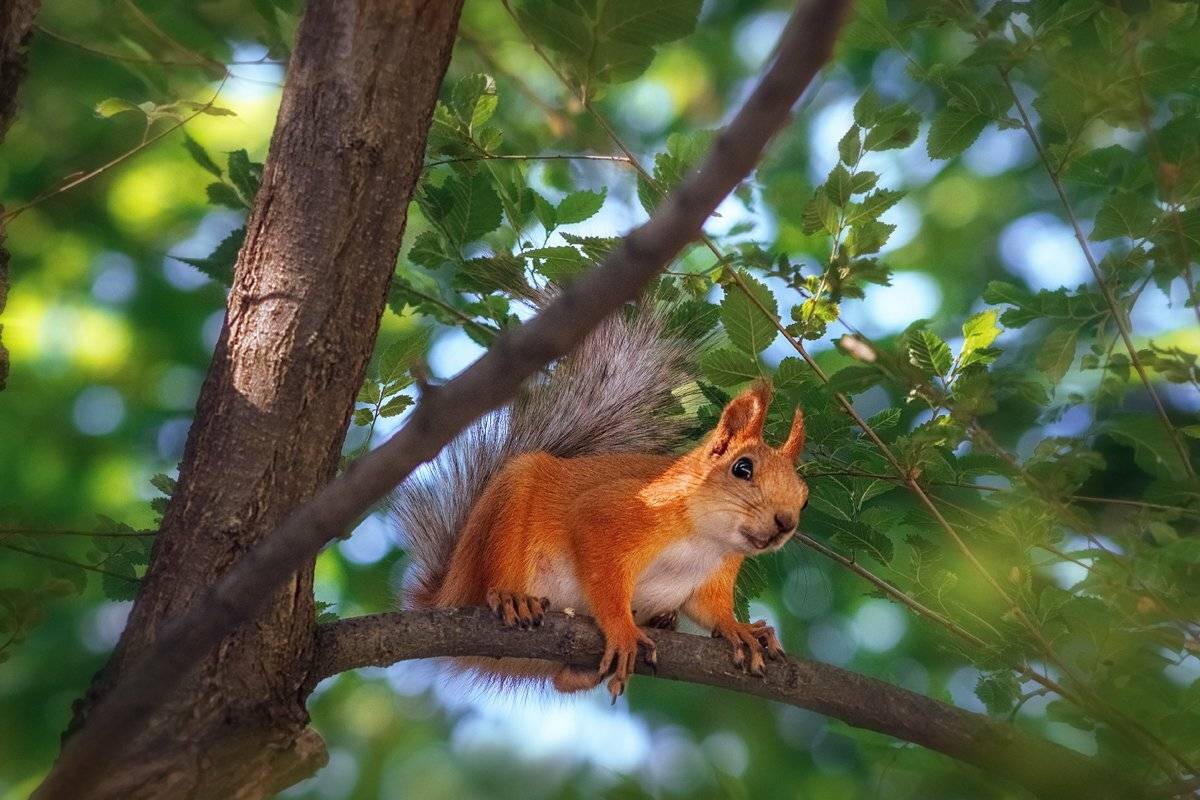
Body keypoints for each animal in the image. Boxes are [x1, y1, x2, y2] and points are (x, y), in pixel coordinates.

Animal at [394, 304, 809, 702]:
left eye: (804, 499)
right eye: (742, 468)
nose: (785, 522)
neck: (703, 540)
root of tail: (444, 595)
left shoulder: (714, 575)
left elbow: (710, 610)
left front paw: (739, 629)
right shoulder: (615, 512)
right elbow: (602, 575)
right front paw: (622, 629)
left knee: (563, 680)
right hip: (503, 514)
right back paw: (512, 597)